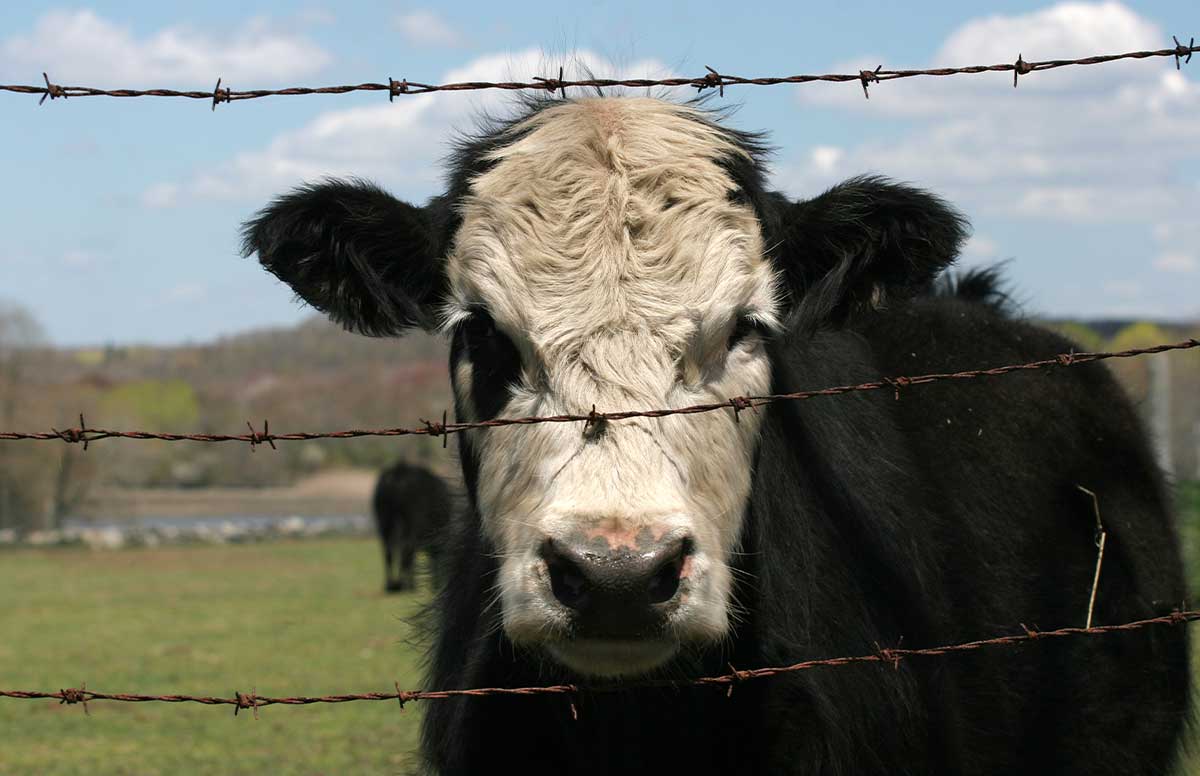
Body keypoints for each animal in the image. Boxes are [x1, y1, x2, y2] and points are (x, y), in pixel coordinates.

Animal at [372, 459, 453, 593]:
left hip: (385, 522)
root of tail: (399, 470)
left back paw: (391, 585)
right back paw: (409, 585)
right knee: (405, 549)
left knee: (389, 551)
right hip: (409, 524)